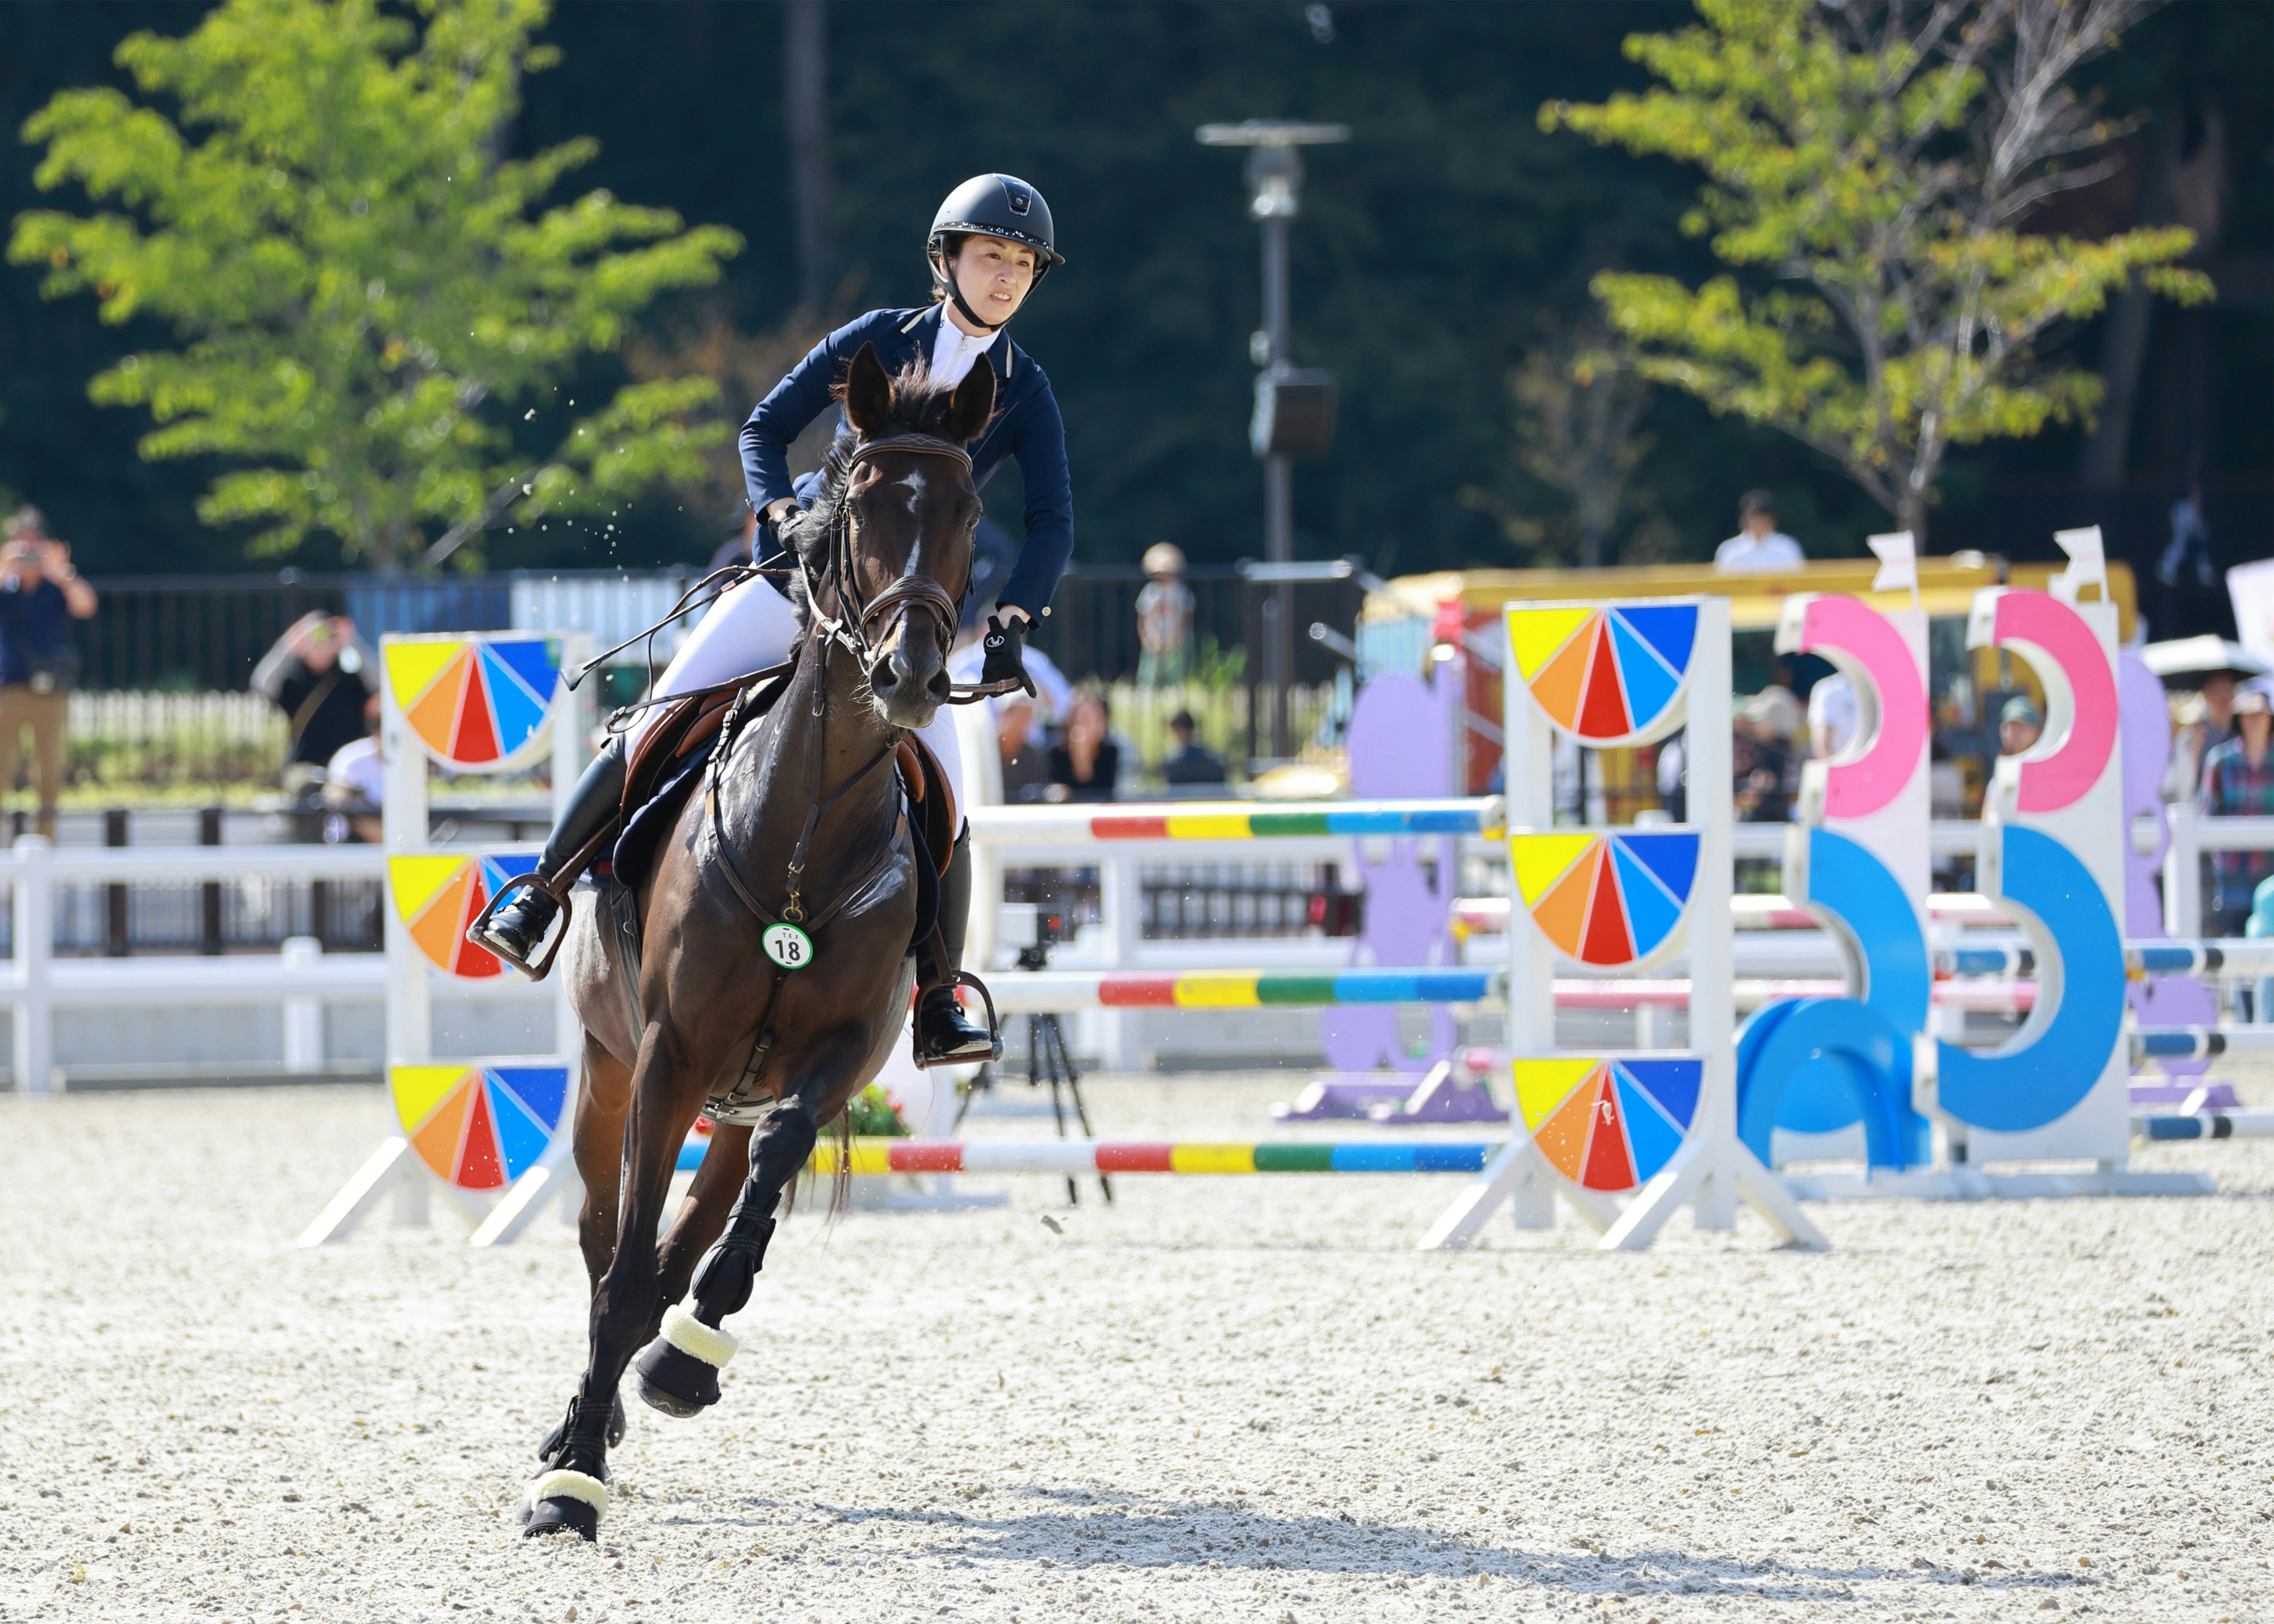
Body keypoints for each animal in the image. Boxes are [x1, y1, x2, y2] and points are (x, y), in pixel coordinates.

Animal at [521, 342, 994, 1540]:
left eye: (970, 509)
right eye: (857, 505)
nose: (909, 675)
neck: (803, 832)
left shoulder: (838, 1058)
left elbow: (758, 1181)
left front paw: (688, 1359)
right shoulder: (667, 1057)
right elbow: (623, 1265)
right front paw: (571, 1480)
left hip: (726, 1102)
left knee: (687, 1225)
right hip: (607, 1071)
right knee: (601, 1237)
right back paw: (581, 1418)